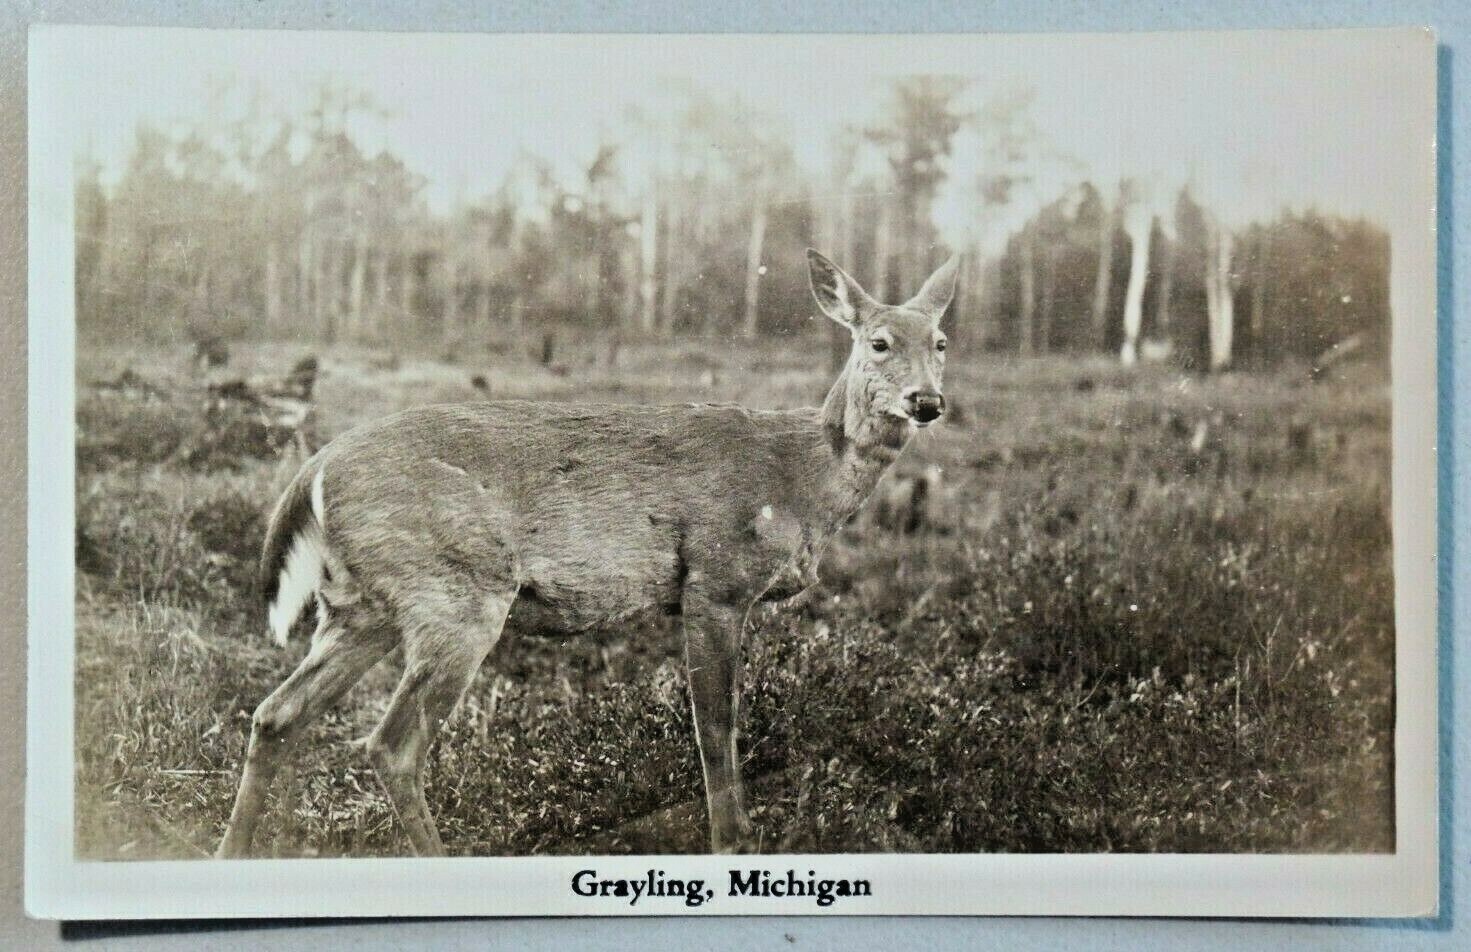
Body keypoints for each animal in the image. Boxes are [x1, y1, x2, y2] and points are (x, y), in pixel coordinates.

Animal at [216, 249, 959, 858]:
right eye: (878, 342)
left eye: (942, 342)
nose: (927, 400)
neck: (801, 479)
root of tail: (315, 468)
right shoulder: (715, 580)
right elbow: (716, 729)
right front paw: (732, 840)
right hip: (456, 593)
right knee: (391, 746)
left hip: (360, 605)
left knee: (276, 714)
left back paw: (230, 854)